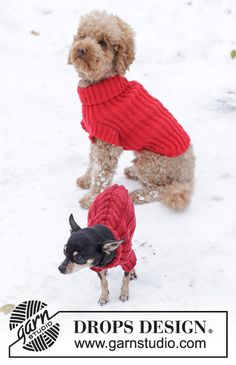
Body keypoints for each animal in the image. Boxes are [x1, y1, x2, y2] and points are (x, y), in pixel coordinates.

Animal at [68, 9, 195, 209]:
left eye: (102, 43)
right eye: (83, 36)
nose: (80, 49)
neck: (103, 86)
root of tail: (188, 175)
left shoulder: (109, 142)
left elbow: (102, 175)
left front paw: (91, 199)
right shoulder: (96, 135)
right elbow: (92, 160)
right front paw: (86, 180)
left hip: (152, 162)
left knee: (161, 189)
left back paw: (136, 195)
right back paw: (132, 171)